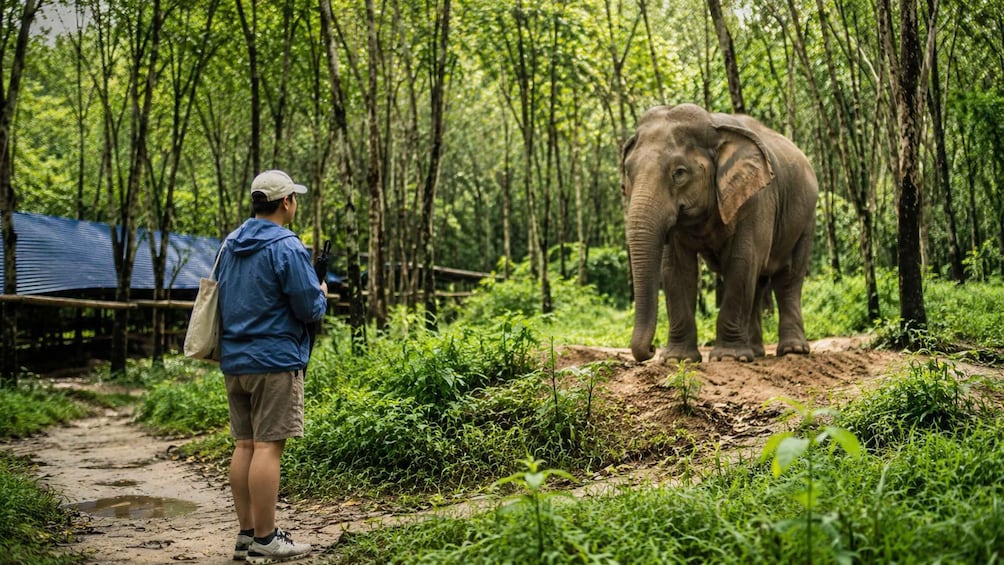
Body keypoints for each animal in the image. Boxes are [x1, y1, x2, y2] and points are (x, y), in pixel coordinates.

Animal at [620, 103, 818, 363]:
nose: (652, 349)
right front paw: (677, 359)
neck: (714, 125)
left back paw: (792, 351)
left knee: (788, 279)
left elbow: (742, 260)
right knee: (758, 283)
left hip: (806, 219)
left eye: (679, 173)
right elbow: (676, 270)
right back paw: (756, 352)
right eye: (628, 172)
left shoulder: (755, 198)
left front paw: (728, 357)